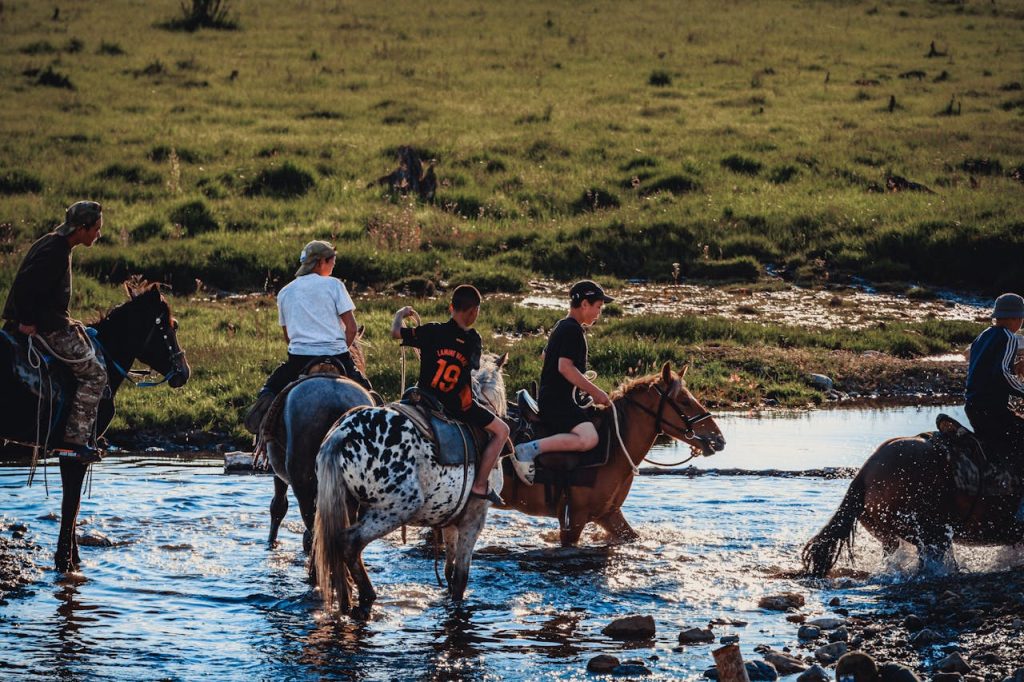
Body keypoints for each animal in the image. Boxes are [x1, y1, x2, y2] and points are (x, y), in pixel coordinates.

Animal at [0, 279, 191, 572]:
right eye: (171, 325)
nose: (184, 372)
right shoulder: (75, 452)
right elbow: (71, 505)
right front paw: (65, 563)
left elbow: (74, 507)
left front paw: (74, 559)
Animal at [262, 336, 375, 552]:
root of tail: (335, 399)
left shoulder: (278, 471)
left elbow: (278, 506)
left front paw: (271, 542)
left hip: (302, 478)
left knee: (311, 521)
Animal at [312, 353, 508, 619]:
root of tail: (341, 435)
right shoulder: (474, 519)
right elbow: (460, 578)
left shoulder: (450, 519)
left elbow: (449, 570)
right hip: (395, 510)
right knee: (349, 544)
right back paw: (367, 595)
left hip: (349, 506)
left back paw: (346, 599)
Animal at [501, 362, 726, 547]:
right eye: (685, 401)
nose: (719, 439)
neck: (614, 446)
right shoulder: (573, 519)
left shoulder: (609, 514)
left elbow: (633, 537)